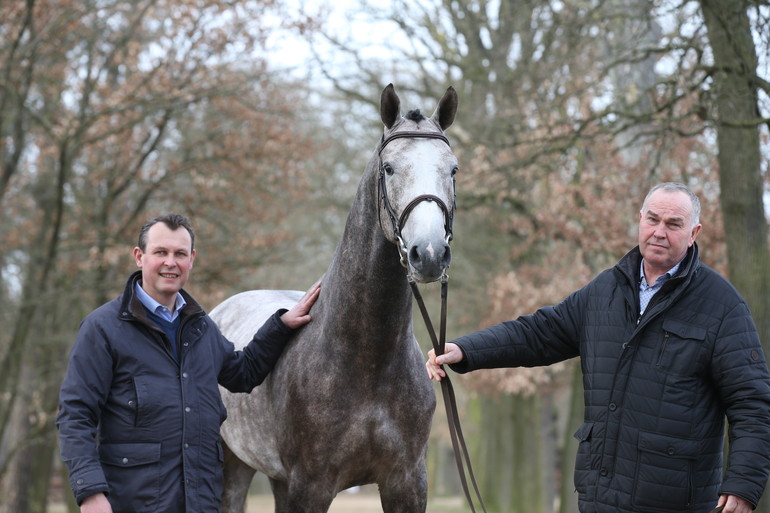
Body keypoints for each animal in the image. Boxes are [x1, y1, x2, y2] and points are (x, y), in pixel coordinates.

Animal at [212, 84, 456, 512]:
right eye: (388, 168)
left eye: (454, 169)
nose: (428, 253)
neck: (367, 360)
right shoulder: (311, 485)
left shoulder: (408, 482)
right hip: (233, 468)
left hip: (277, 479)